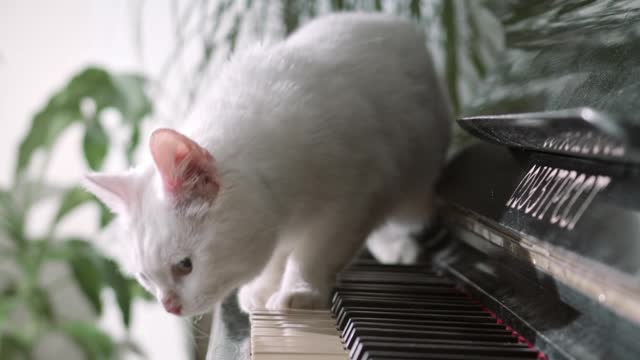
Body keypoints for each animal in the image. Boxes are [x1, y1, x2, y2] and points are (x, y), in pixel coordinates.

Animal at [84, 12, 450, 316]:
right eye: (145, 278)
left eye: (184, 265)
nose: (168, 307)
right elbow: (276, 255)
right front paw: (262, 288)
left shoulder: (356, 197)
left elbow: (314, 252)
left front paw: (300, 290)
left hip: (412, 185)